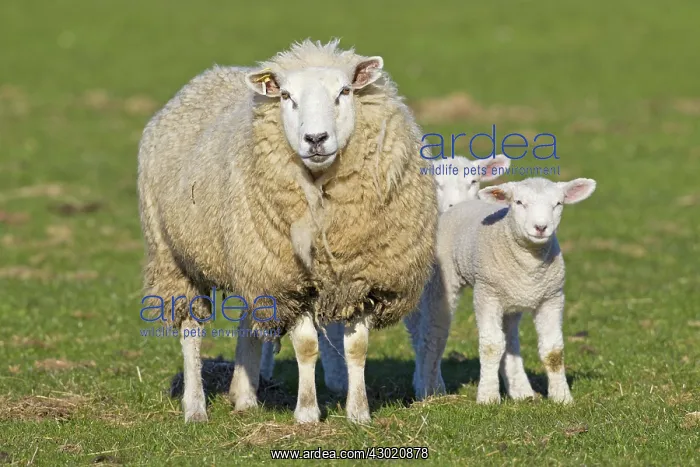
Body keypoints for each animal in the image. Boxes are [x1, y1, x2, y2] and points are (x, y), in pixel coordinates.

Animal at [137, 39, 438, 424]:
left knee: (248, 320)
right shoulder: (290, 281)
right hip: (174, 256)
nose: (316, 139)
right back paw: (195, 407)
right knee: (190, 328)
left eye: (344, 91)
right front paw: (307, 412)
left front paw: (359, 413)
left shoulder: (361, 275)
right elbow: (307, 346)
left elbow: (357, 348)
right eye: (286, 96)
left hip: (253, 258)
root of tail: (211, 74)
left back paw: (244, 396)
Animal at [416, 177, 596, 403]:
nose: (541, 227)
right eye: (519, 202)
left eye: (558, 204)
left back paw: (521, 391)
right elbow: (491, 346)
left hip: (511, 302)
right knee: (434, 334)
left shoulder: (552, 298)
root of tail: (459, 204)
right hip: (442, 283)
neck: (530, 267)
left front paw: (562, 397)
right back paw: (429, 390)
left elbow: (553, 351)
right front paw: (488, 397)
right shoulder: (487, 294)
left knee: (510, 341)